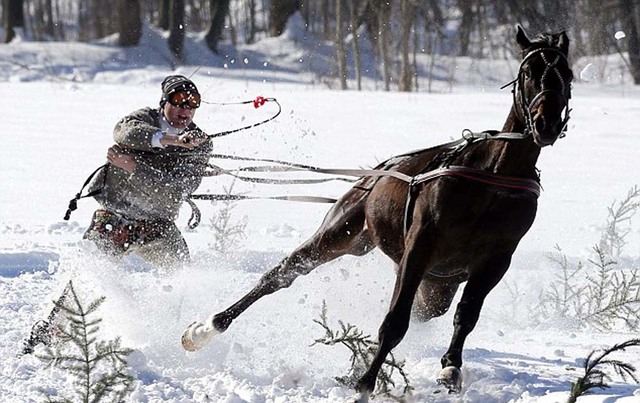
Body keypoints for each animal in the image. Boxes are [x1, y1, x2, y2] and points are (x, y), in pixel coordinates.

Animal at [181, 25, 576, 400]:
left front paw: (450, 369)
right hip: (344, 233)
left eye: (568, 74)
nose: (546, 124)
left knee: (427, 310)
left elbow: (466, 316)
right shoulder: (419, 247)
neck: (493, 178)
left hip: (436, 283)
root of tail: (376, 172)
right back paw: (205, 328)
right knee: (283, 273)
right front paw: (365, 382)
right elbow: (395, 321)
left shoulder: (495, 260)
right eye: (529, 72)